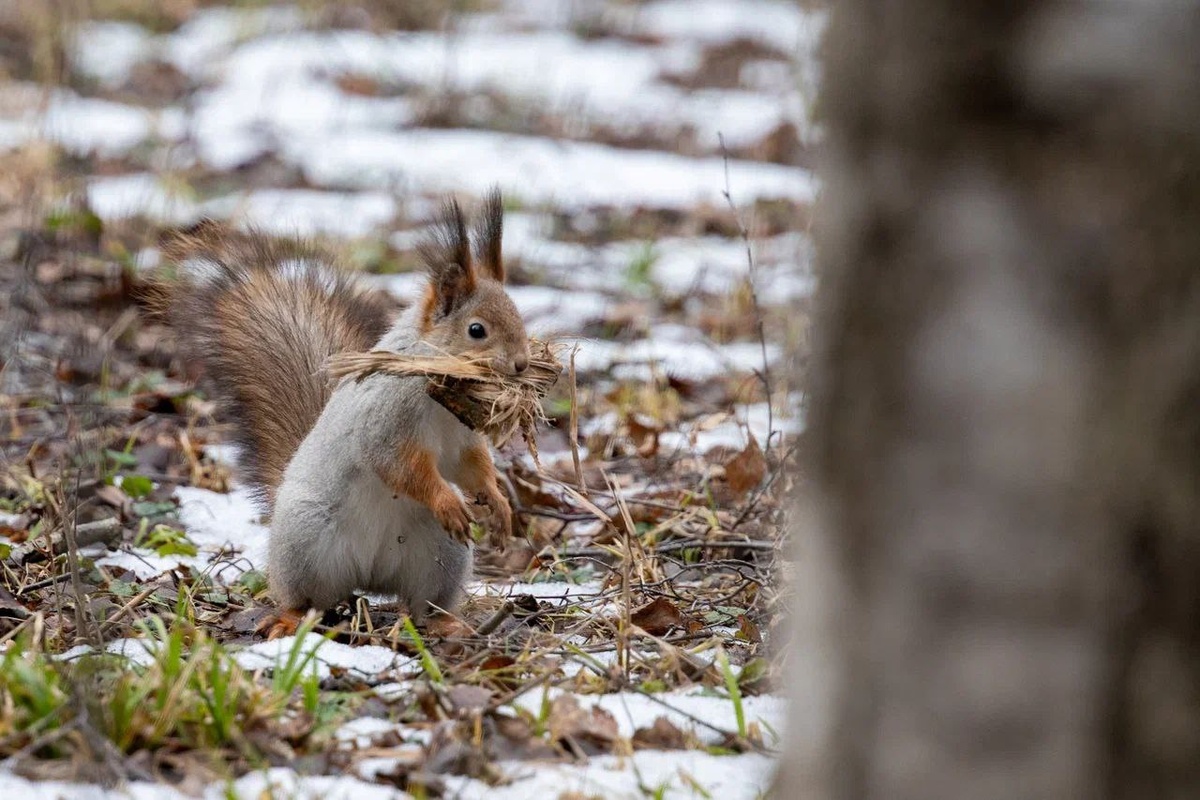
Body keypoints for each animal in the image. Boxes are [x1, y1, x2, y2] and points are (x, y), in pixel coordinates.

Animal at [163, 190, 529, 636]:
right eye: (477, 330)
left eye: (518, 315)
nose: (521, 364)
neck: (442, 394)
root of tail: (369, 577)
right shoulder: (384, 421)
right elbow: (399, 466)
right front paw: (447, 500)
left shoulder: (463, 435)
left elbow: (472, 466)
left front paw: (498, 504)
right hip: (305, 541)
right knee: (307, 600)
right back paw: (289, 619)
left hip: (443, 556)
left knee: (423, 604)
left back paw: (446, 624)